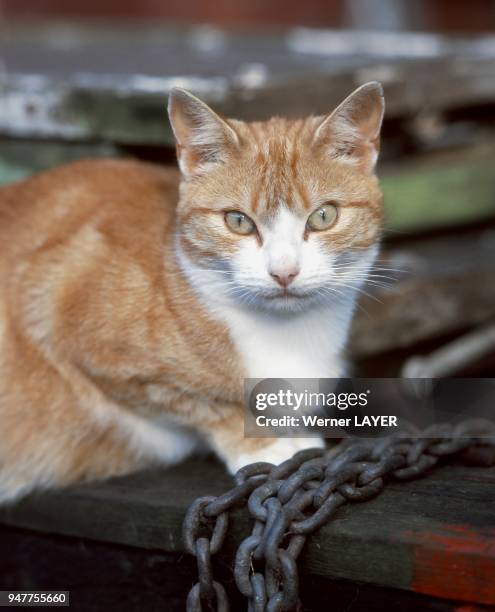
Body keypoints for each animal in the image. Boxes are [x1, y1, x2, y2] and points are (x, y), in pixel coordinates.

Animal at [0, 81, 386, 502]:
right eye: (238, 221)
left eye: (323, 216)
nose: (284, 272)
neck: (287, 337)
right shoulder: (61, 308)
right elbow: (205, 402)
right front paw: (263, 442)